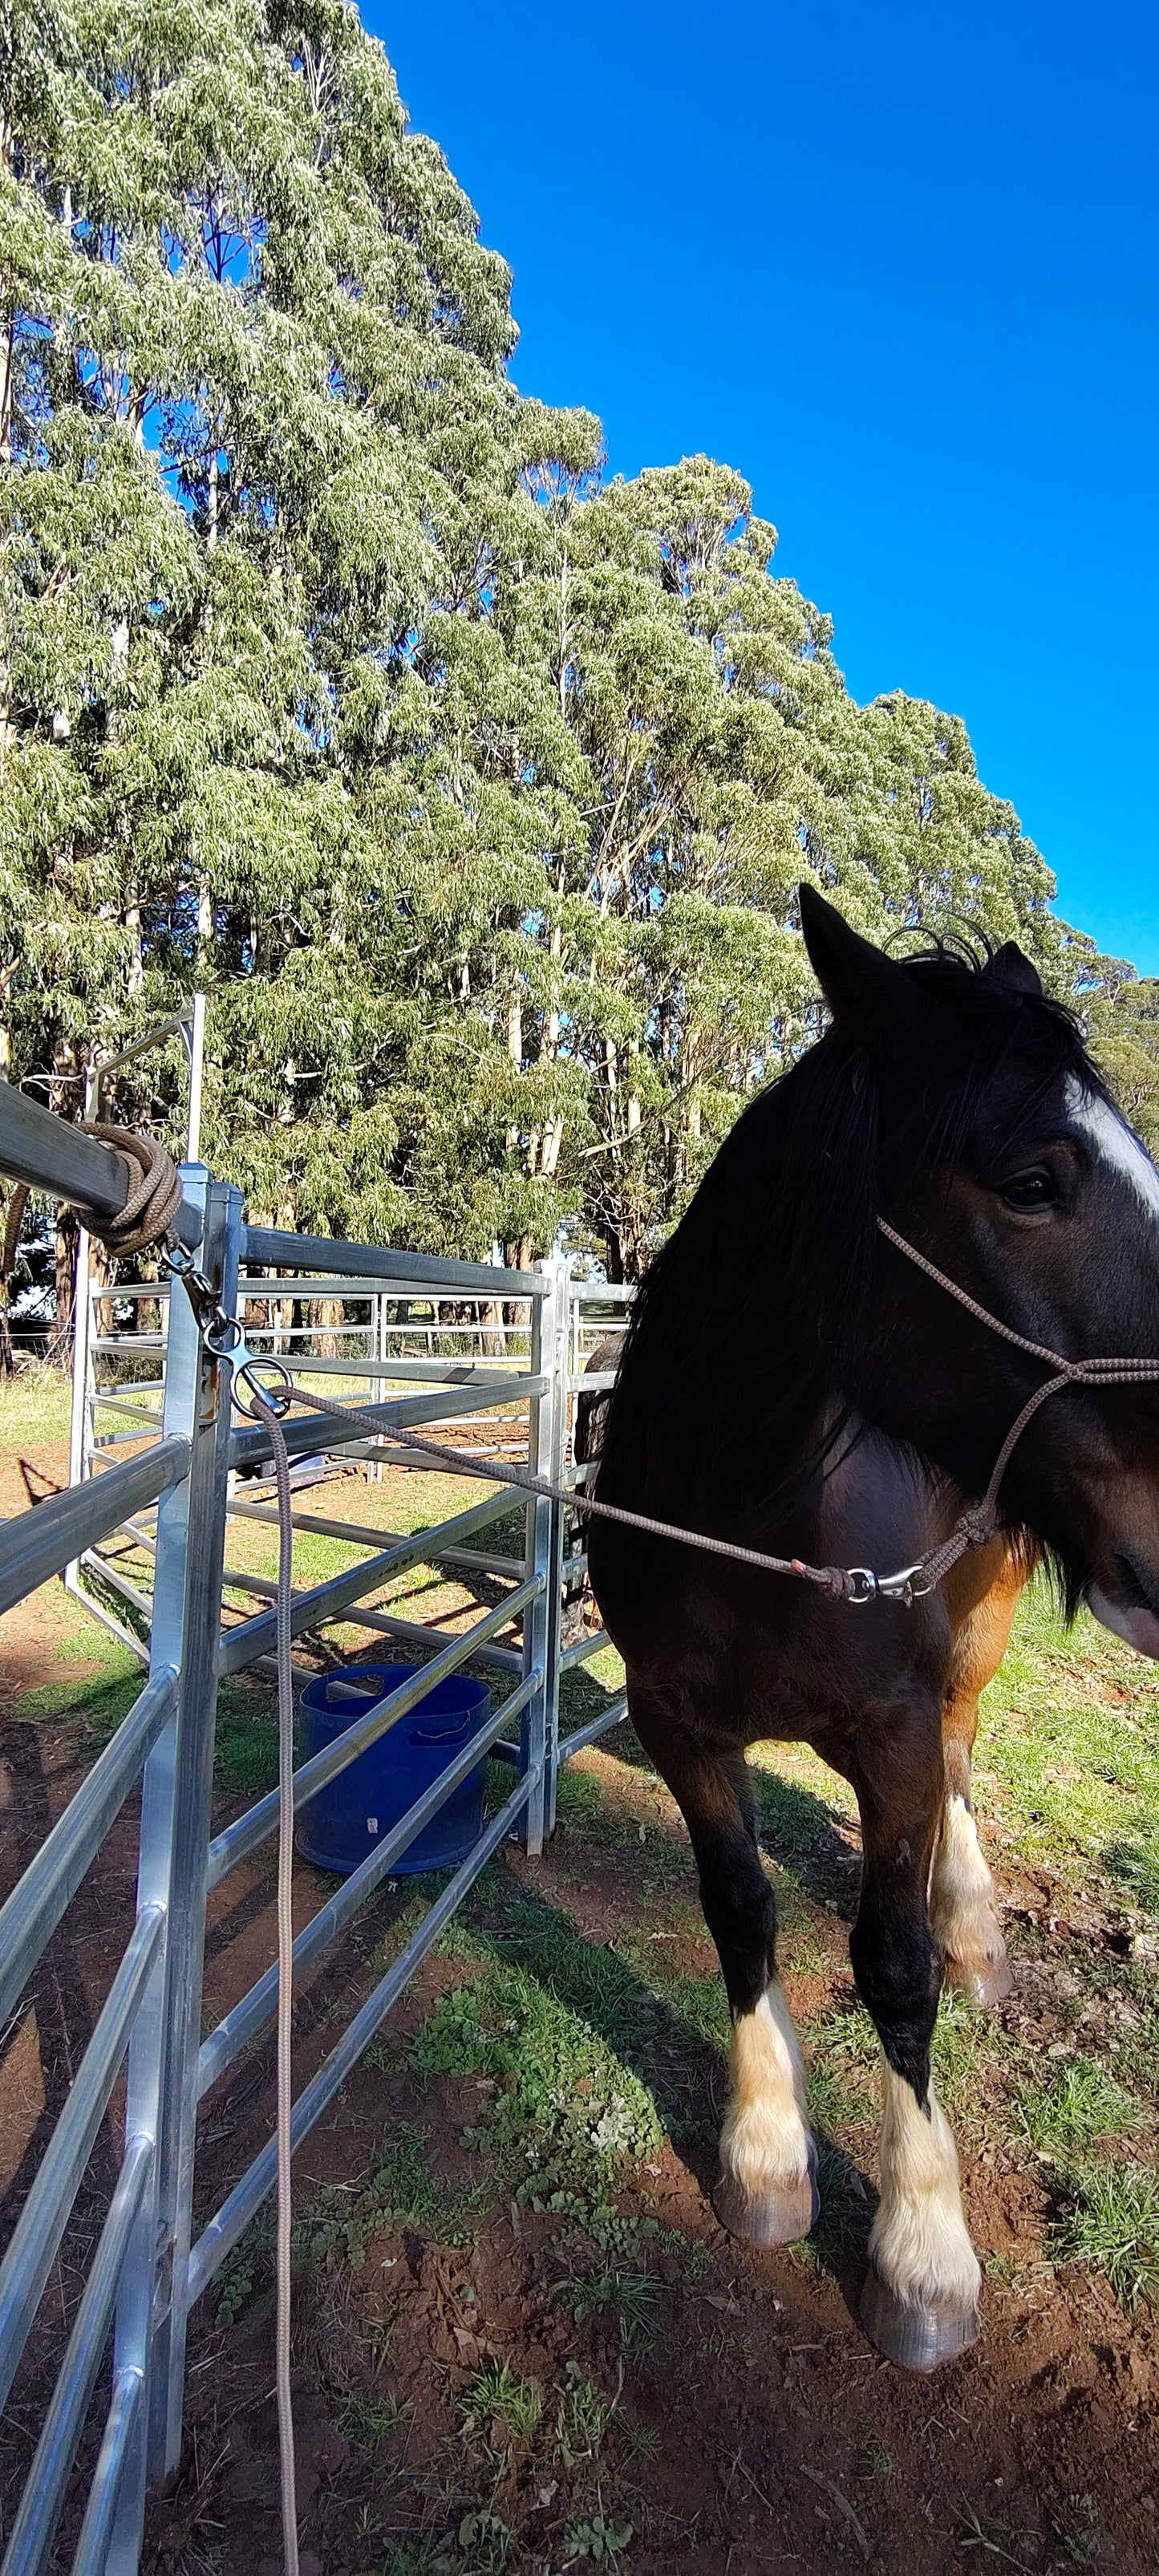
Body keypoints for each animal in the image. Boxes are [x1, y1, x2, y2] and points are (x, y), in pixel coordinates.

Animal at [585, 884, 1159, 2372]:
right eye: (1032, 1180)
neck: (754, 1519)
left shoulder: (890, 1734)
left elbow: (894, 1970)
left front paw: (922, 2251)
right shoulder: (678, 1725)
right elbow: (739, 1913)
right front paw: (766, 2151)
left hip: (977, 1631)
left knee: (962, 1753)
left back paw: (973, 1922)